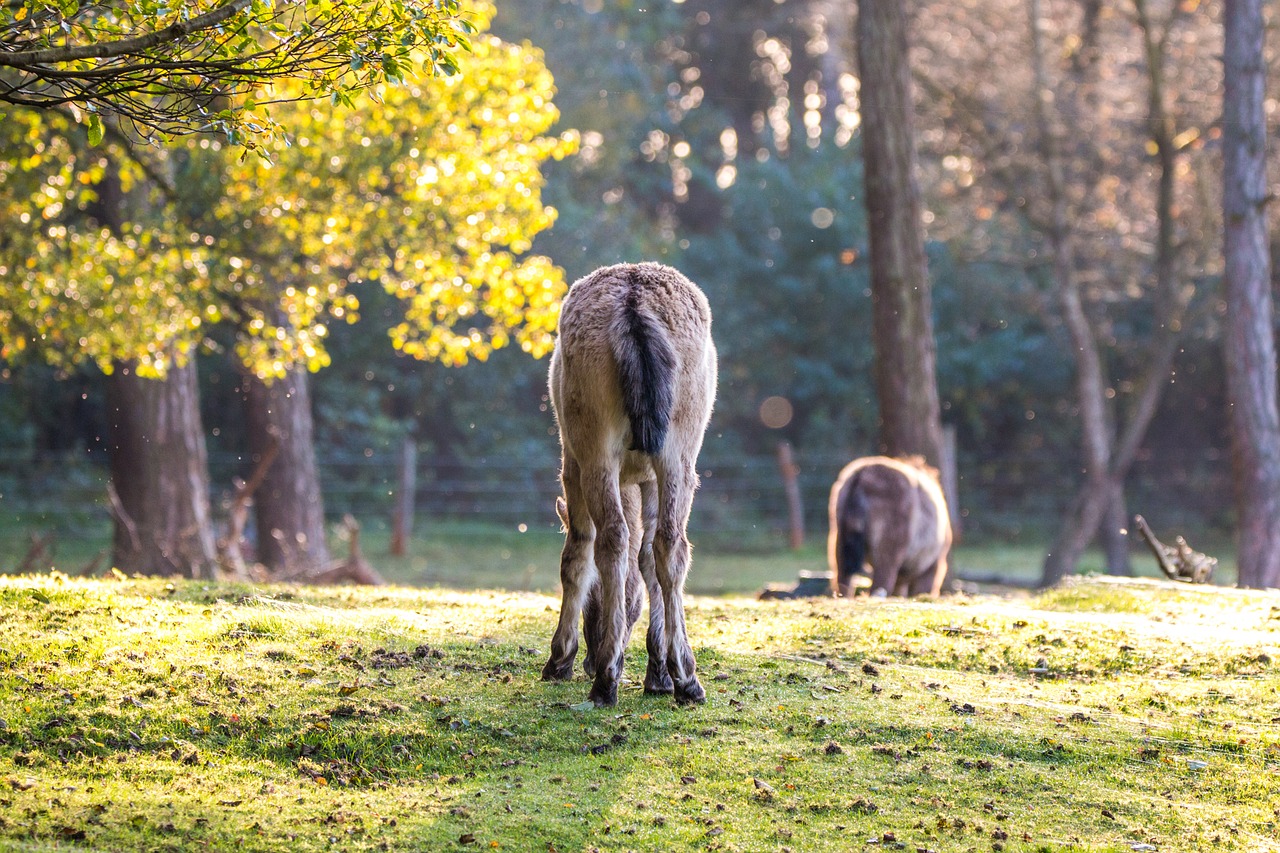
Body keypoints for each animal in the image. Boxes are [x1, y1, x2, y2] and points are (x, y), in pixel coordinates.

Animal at [542, 258, 721, 701]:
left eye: (594, 598)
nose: (589, 660)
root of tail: (635, 304)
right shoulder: (652, 477)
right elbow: (649, 560)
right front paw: (659, 672)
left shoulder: (570, 463)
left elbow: (576, 553)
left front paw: (559, 660)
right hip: (681, 450)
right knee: (671, 544)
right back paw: (687, 678)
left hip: (594, 449)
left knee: (611, 537)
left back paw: (606, 678)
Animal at [829, 455, 952, 594]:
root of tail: (862, 474)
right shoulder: (931, 569)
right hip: (888, 556)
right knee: (879, 588)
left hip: (840, 545)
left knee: (844, 584)